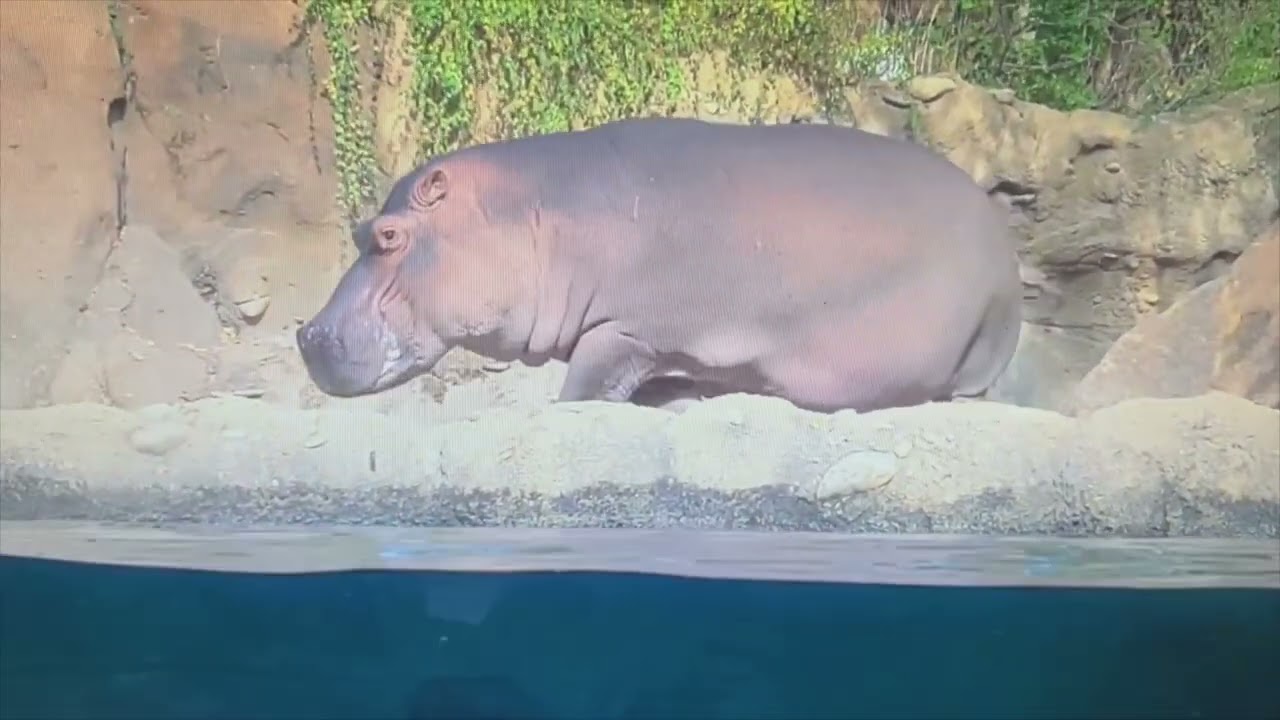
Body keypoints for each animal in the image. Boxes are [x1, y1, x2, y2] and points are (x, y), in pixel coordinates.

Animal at [297, 117, 1024, 414]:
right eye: (359, 229)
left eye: (388, 235)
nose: (307, 333)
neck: (532, 210)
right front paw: (680, 400)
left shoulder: (626, 330)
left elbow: (583, 392)